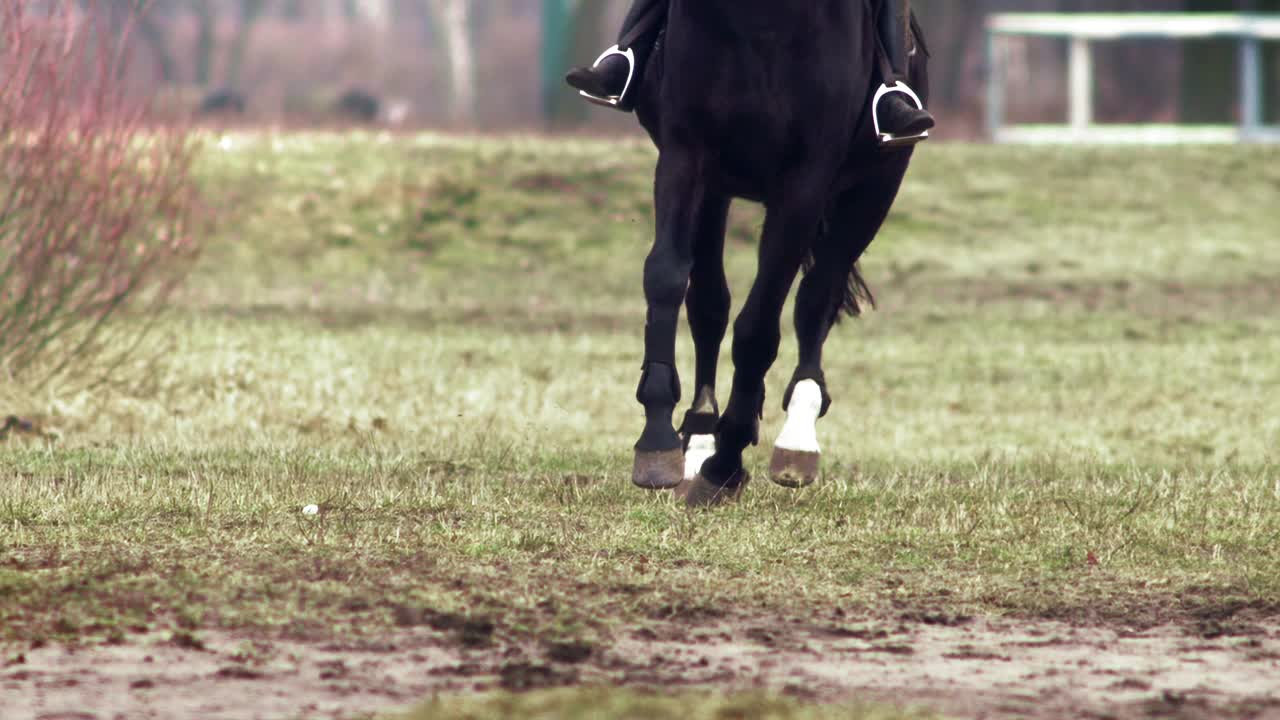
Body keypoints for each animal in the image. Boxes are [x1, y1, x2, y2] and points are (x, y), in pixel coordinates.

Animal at [619, 1, 931, 504]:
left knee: (815, 301)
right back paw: (700, 435)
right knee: (710, 307)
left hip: (871, 193)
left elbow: (760, 326)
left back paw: (796, 436)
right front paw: (660, 439)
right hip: (718, 191)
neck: (760, 20)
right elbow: (668, 278)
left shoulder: (805, 183)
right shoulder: (687, 155)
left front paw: (726, 462)